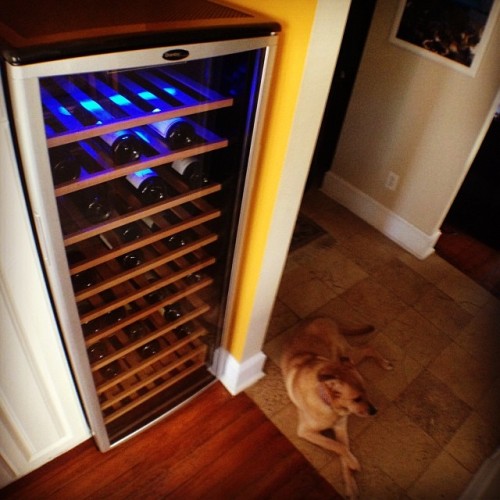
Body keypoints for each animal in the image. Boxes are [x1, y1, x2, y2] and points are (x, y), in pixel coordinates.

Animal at [282, 318, 390, 498]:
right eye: (356, 399)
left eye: (367, 392)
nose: (375, 411)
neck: (329, 405)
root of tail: (320, 317)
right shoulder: (305, 431)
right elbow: (338, 446)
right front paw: (353, 464)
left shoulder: (340, 428)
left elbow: (343, 449)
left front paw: (350, 483)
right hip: (345, 356)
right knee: (366, 348)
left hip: (345, 355)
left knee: (368, 347)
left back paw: (384, 363)